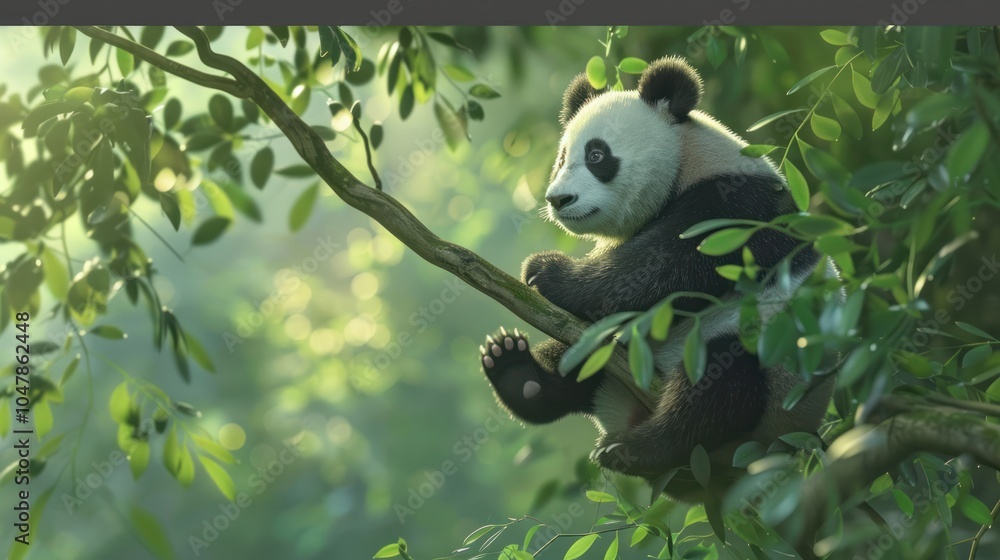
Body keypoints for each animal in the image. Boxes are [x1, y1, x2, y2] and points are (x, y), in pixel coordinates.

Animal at [478, 56, 837, 500]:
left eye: (597, 154)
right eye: (562, 157)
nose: (558, 199)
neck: (688, 157)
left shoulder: (735, 204)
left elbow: (665, 269)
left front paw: (546, 271)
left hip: (770, 364)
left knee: (721, 388)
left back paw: (634, 449)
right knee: (576, 359)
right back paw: (516, 371)